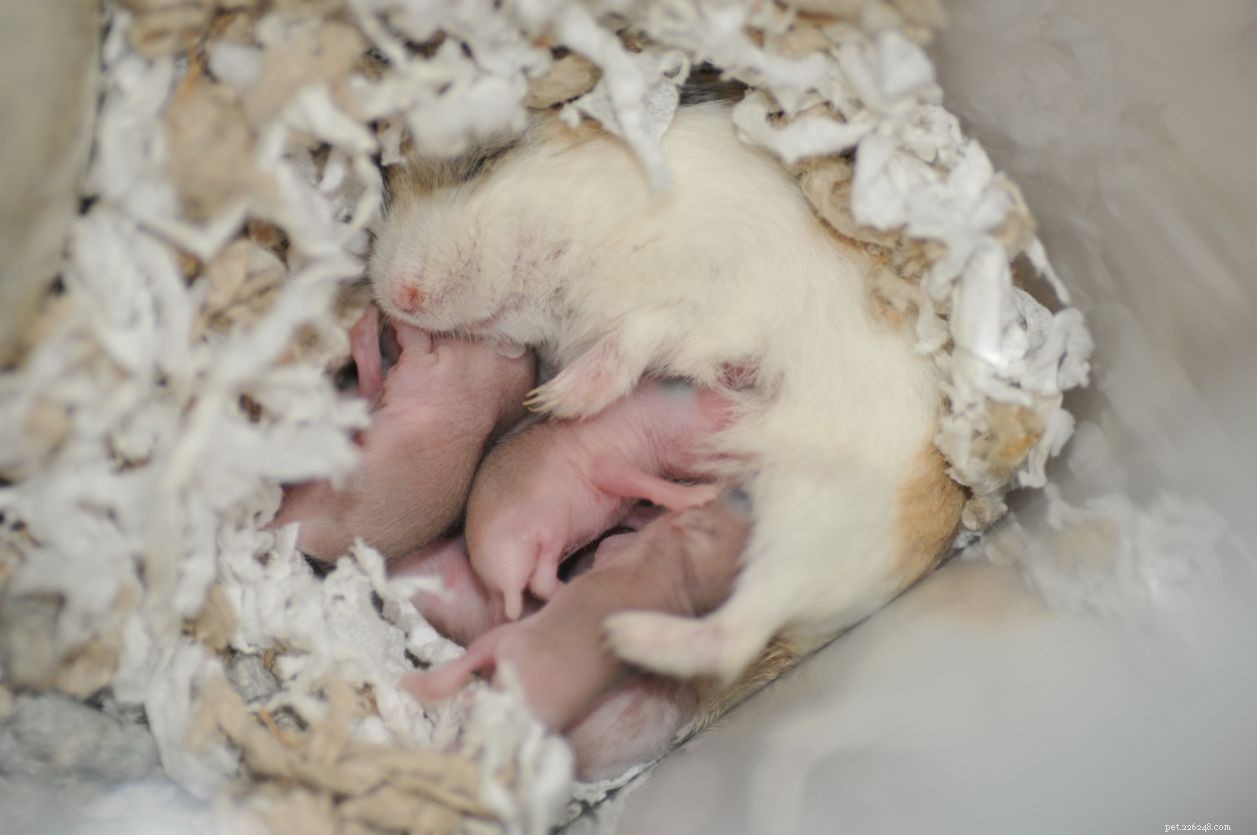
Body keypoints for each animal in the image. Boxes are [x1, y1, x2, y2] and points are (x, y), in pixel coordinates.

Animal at [371, 101, 964, 682]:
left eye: (481, 161)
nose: (400, 296)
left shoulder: (707, 302)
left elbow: (640, 333)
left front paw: (558, 398)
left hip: (822, 517)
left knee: (735, 637)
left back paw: (625, 633)